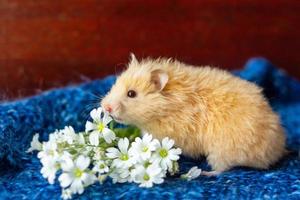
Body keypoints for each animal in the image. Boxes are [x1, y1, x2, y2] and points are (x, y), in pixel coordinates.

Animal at [101, 54, 286, 175]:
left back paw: (204, 173)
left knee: (221, 169)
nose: (105, 107)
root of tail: (276, 149)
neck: (166, 107)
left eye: (131, 94)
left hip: (222, 150)